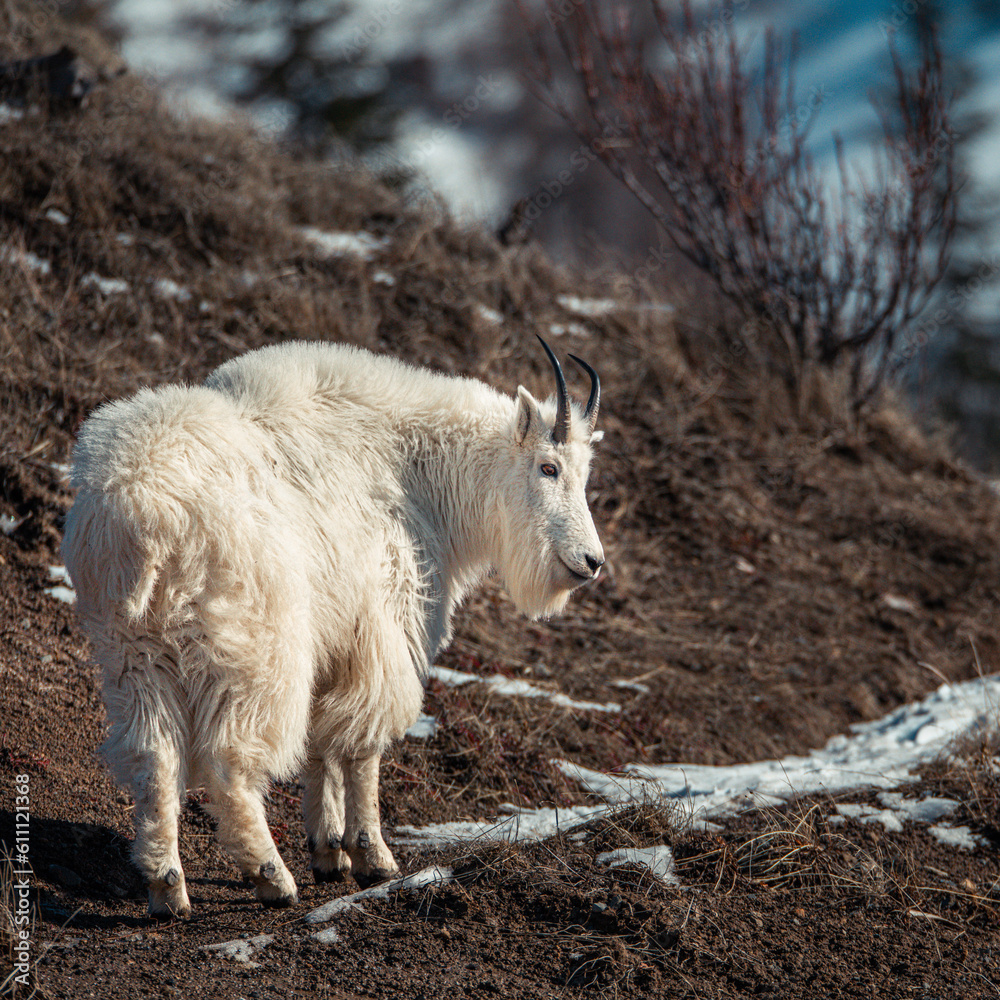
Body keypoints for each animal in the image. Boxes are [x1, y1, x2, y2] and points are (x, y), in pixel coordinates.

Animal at [61, 336, 604, 918]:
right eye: (549, 467)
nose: (591, 561)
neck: (415, 472)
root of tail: (141, 509)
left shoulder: (336, 645)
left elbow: (321, 746)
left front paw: (328, 852)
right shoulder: (383, 633)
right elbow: (363, 749)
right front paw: (372, 856)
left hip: (134, 649)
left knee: (154, 757)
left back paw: (167, 886)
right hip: (253, 650)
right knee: (230, 762)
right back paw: (271, 875)